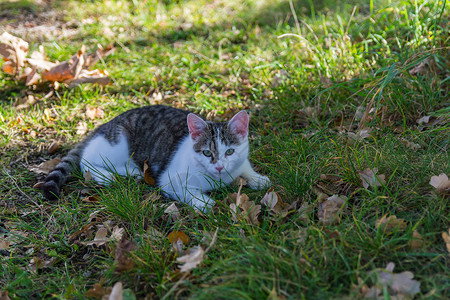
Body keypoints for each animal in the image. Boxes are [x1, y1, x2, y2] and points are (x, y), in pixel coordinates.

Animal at [42, 104, 268, 210]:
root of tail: (106, 124)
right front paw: (204, 202)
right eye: (206, 152)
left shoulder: (239, 160)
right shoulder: (169, 179)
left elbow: (244, 165)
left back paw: (131, 170)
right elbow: (186, 191)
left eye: (230, 151)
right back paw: (108, 175)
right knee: (86, 160)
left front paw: (257, 178)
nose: (220, 166)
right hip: (117, 143)